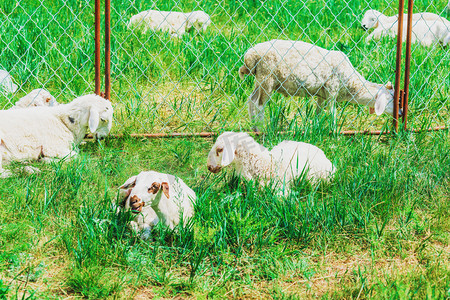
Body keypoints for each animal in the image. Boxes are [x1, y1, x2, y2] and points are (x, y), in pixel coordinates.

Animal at [237, 39, 396, 129]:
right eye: (391, 99)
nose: (399, 113)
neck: (351, 86)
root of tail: (250, 56)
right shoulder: (332, 89)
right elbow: (332, 112)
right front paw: (333, 131)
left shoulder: (322, 94)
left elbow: (318, 112)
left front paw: (316, 128)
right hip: (267, 77)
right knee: (259, 104)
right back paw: (261, 128)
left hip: (260, 79)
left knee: (251, 100)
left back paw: (254, 127)